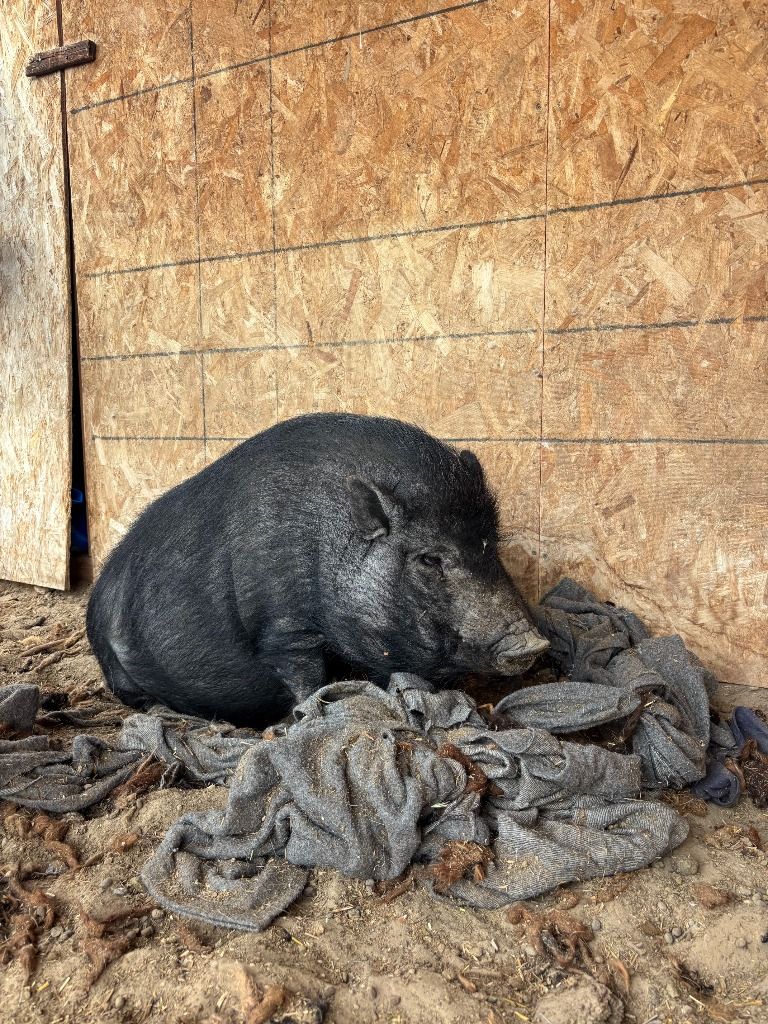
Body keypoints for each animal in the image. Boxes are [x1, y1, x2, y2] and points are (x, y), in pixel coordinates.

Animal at [87, 413, 549, 726]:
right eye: (429, 558)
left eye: (490, 545)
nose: (534, 642)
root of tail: (96, 594)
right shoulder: (283, 628)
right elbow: (307, 678)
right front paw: (309, 715)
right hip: (116, 667)